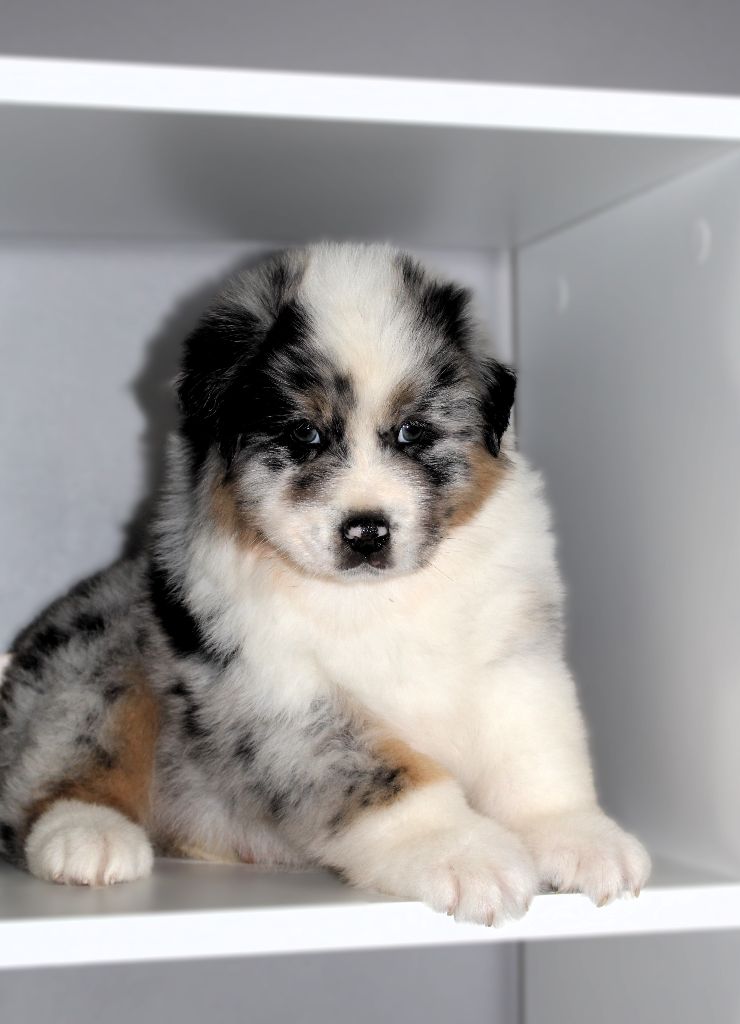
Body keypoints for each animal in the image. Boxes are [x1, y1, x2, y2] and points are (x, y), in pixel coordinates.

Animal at [0, 243, 650, 924]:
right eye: (304, 434)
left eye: (412, 431)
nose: (366, 532)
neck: (372, 599)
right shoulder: (276, 690)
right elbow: (387, 775)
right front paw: (466, 855)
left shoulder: (512, 652)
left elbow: (536, 752)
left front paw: (579, 836)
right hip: (98, 645)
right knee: (58, 762)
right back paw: (87, 836)